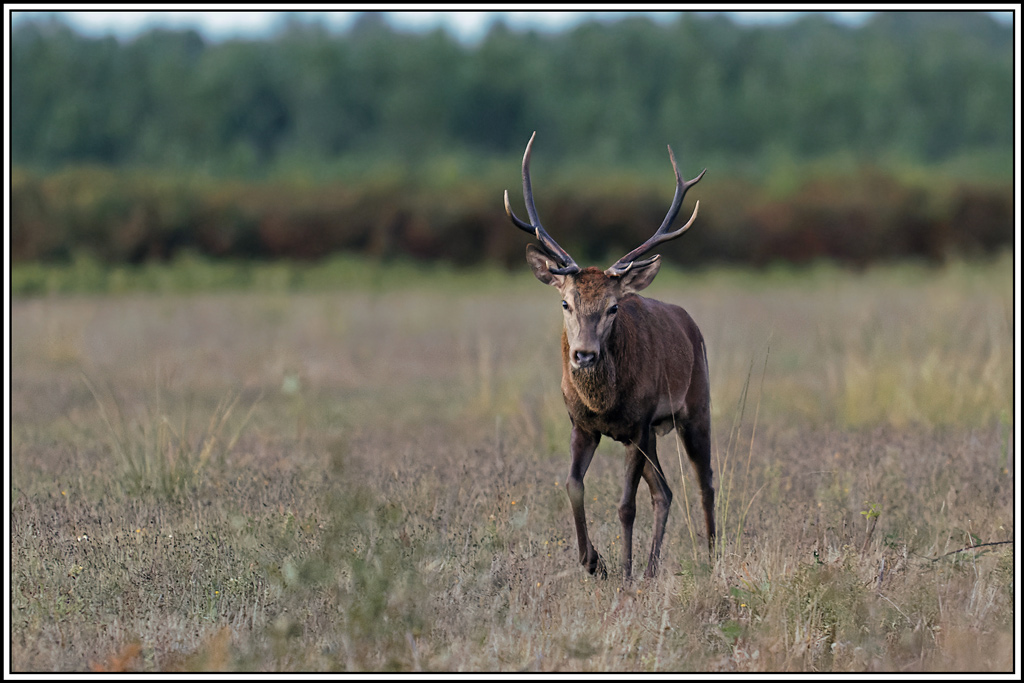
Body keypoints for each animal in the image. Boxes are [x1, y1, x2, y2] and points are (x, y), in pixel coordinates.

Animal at [505, 132, 715, 581]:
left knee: (704, 479)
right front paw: (593, 561)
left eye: (613, 307)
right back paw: (653, 568)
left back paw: (710, 555)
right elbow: (573, 485)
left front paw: (624, 570)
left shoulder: (636, 425)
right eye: (565, 303)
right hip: (653, 433)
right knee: (666, 491)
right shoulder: (583, 425)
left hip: (695, 406)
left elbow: (625, 506)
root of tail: (691, 324)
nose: (583, 354)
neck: (604, 403)